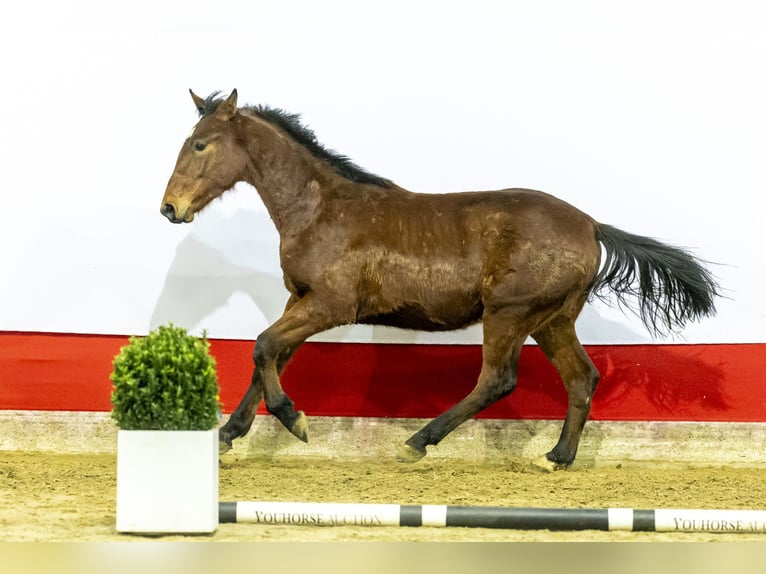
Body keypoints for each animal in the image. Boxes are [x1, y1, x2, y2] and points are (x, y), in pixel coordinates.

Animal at [159, 89, 716, 468]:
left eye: (201, 144)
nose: (170, 208)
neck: (318, 210)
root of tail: (592, 225)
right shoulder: (299, 299)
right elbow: (267, 356)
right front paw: (228, 435)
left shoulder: (331, 305)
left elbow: (262, 346)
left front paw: (294, 421)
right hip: (550, 320)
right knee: (582, 378)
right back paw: (557, 457)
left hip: (509, 313)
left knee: (497, 380)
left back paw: (417, 441)